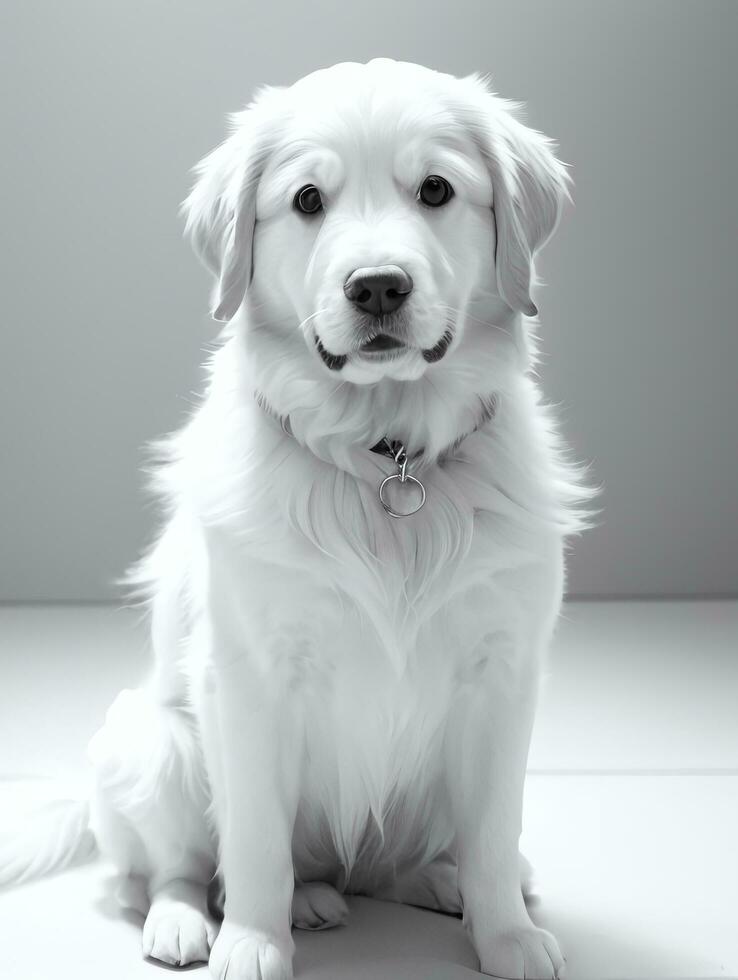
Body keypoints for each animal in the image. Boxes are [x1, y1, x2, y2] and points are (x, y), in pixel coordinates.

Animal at [5, 57, 596, 976]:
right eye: (308, 200)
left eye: (436, 189)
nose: (378, 286)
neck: (388, 464)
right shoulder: (250, 678)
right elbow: (253, 842)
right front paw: (253, 941)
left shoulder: (504, 675)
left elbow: (496, 832)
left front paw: (505, 936)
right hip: (150, 743)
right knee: (172, 870)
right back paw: (202, 920)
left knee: (404, 862)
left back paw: (437, 882)